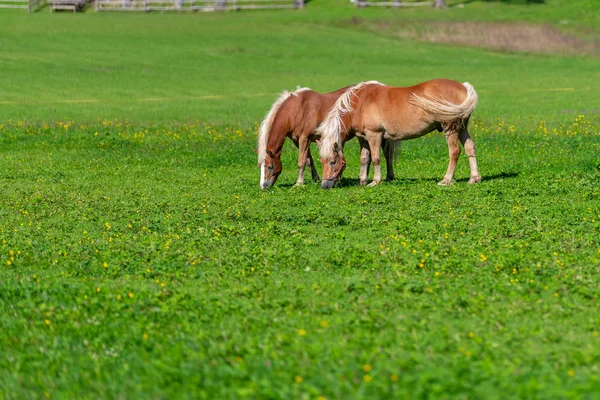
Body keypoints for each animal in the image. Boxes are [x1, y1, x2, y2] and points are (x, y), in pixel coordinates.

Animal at [256, 86, 400, 189]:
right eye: (260, 167)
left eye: (270, 166)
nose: (263, 187)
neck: (296, 110)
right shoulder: (299, 140)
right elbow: (309, 160)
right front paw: (316, 179)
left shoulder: (304, 138)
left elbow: (301, 161)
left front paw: (298, 183)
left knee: (386, 154)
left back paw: (388, 177)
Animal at [316, 80, 480, 191]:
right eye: (322, 161)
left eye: (332, 162)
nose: (324, 185)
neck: (359, 103)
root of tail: (464, 87)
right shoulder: (363, 137)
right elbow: (364, 159)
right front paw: (362, 181)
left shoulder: (374, 135)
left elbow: (375, 158)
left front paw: (375, 181)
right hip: (462, 128)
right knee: (470, 148)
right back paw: (474, 178)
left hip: (450, 128)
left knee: (454, 151)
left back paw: (446, 180)